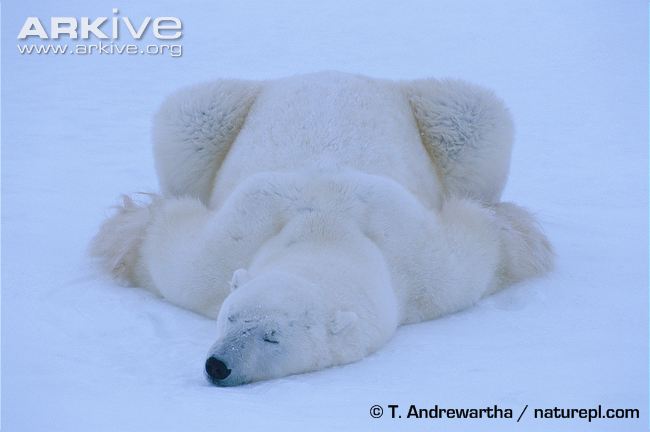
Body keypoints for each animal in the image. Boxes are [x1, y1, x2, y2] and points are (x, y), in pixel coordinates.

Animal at [91, 71, 553, 386]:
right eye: (231, 316)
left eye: (273, 337)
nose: (218, 365)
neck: (326, 228)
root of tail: (338, 73)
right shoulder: (225, 246)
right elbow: (165, 245)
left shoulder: (430, 270)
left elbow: (485, 242)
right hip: (224, 111)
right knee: (189, 120)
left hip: (440, 113)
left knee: (474, 118)